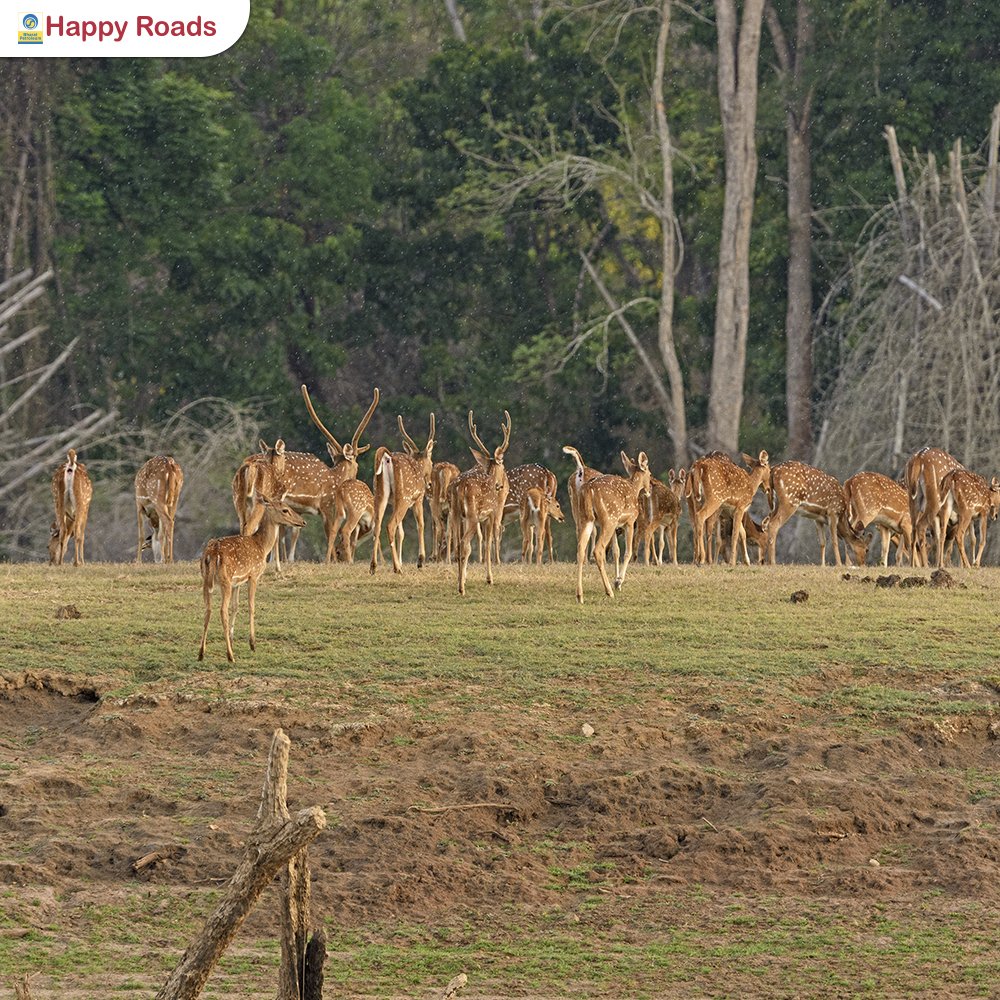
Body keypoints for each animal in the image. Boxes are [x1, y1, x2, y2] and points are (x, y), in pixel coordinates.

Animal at [196, 492, 302, 664]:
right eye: (285, 510)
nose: (302, 522)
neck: (262, 546)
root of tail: (212, 554)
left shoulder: (237, 582)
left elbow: (236, 606)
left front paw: (232, 640)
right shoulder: (253, 575)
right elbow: (251, 605)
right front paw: (252, 644)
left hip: (206, 580)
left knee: (208, 609)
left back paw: (201, 653)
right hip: (224, 580)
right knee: (222, 610)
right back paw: (230, 656)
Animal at [370, 410, 436, 576]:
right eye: (432, 462)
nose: (429, 483)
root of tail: (387, 458)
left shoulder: (393, 502)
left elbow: (402, 533)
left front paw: (402, 560)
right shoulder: (418, 498)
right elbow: (421, 524)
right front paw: (420, 560)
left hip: (380, 493)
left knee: (377, 525)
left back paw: (373, 566)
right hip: (404, 496)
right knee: (390, 525)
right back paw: (396, 568)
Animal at [456, 408, 512, 592]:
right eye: (503, 465)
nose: (503, 485)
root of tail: (461, 487)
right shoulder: (492, 514)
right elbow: (489, 541)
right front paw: (489, 578)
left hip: (456, 515)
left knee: (458, 544)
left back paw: (460, 581)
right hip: (473, 515)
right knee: (464, 544)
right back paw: (461, 587)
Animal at [568, 450, 652, 604]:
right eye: (650, 474)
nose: (649, 490)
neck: (634, 488)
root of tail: (588, 490)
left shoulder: (616, 526)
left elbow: (616, 551)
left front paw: (617, 581)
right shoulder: (629, 521)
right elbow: (627, 552)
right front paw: (618, 581)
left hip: (586, 518)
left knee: (580, 548)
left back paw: (580, 595)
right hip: (609, 518)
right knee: (598, 550)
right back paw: (608, 591)